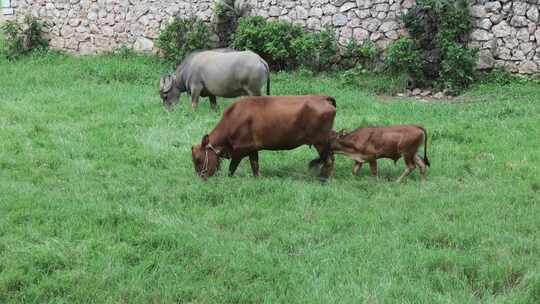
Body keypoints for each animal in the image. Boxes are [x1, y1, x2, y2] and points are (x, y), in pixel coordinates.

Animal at [192, 95, 338, 180]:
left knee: (329, 160)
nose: (201, 178)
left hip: (320, 141)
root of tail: (323, 98)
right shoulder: (252, 148)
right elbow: (255, 166)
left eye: (198, 159)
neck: (234, 118)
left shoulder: (240, 149)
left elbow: (231, 168)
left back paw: (323, 180)